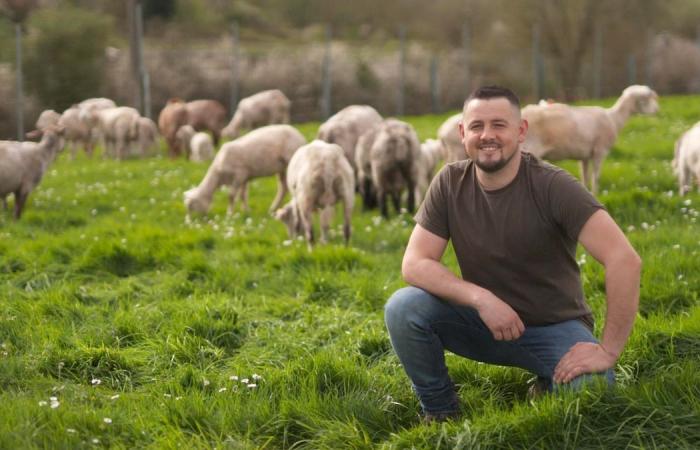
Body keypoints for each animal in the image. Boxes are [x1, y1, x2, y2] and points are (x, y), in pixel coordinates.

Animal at [524, 84, 660, 193]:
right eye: (646, 99)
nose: (657, 110)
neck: (614, 119)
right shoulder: (600, 151)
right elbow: (596, 178)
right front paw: (596, 194)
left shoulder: (584, 156)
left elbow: (585, 177)